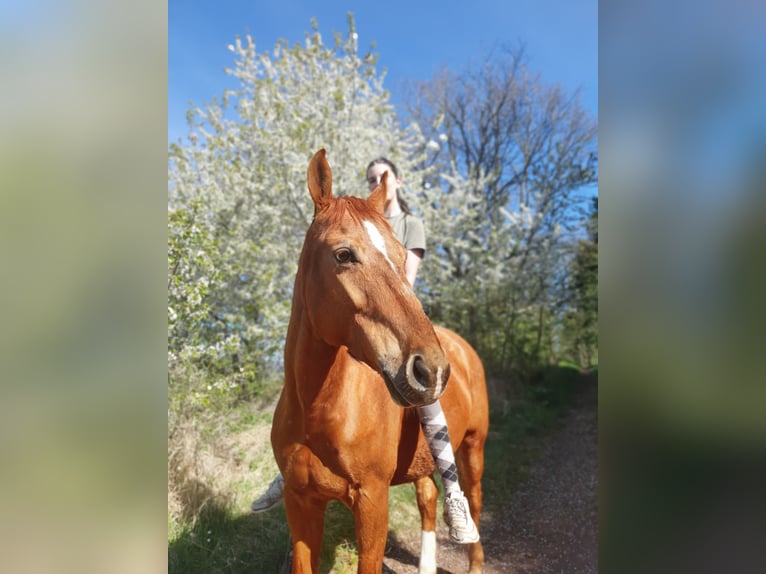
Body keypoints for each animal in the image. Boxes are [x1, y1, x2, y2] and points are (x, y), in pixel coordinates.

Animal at [270, 149, 489, 574]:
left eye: (403, 256)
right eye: (343, 254)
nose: (431, 370)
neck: (318, 411)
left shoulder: (372, 503)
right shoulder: (300, 503)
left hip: (473, 449)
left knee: (473, 502)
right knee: (428, 496)